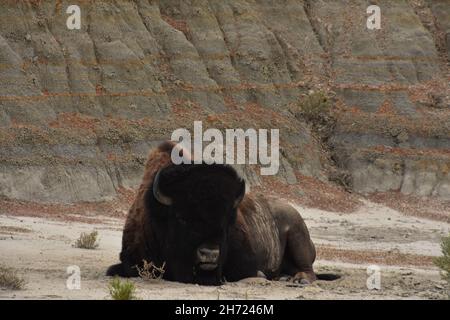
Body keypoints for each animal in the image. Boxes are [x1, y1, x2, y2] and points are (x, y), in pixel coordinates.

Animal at [107, 141, 332, 284]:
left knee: (309, 270)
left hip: (298, 237)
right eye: (181, 218)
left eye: (226, 222)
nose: (210, 253)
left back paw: (299, 280)